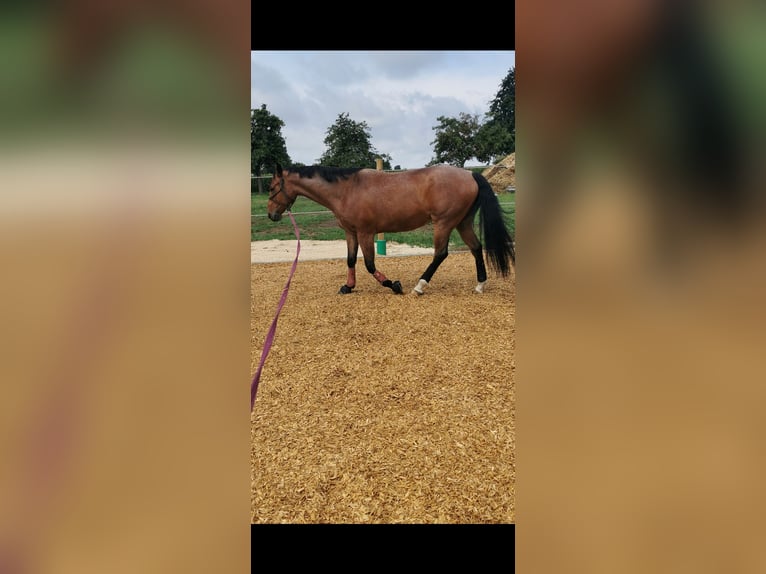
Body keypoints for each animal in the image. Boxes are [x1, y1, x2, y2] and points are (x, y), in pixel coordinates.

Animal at [266, 163, 515, 295]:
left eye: (271, 187)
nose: (270, 214)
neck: (347, 190)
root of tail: (470, 174)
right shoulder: (351, 232)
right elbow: (350, 260)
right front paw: (348, 286)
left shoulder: (366, 233)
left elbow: (369, 264)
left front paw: (392, 284)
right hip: (461, 222)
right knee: (476, 248)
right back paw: (480, 285)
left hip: (444, 223)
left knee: (440, 254)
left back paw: (419, 286)